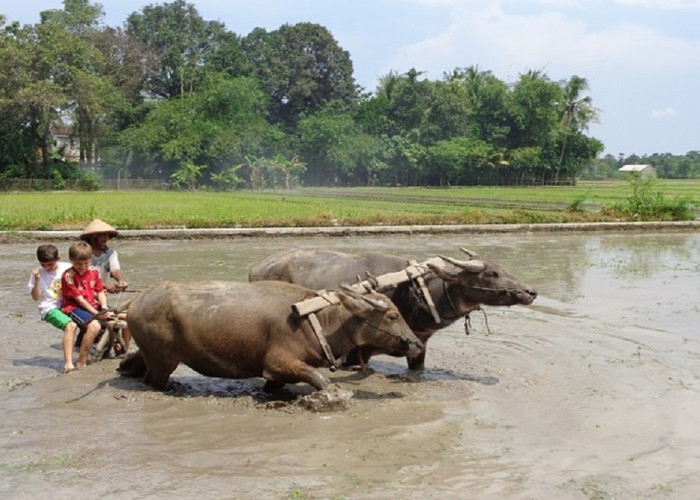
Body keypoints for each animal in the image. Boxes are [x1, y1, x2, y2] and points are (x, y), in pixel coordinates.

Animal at [117, 282, 422, 390]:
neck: (313, 319)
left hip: (152, 355)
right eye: (393, 316)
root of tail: (137, 300)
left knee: (132, 366)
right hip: (163, 362)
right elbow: (319, 378)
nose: (417, 344)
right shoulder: (277, 363)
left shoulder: (277, 376)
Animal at [249, 248, 540, 370]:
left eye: (501, 268)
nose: (530, 292)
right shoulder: (358, 352)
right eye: (491, 273)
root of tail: (257, 267)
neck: (415, 290)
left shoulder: (420, 346)